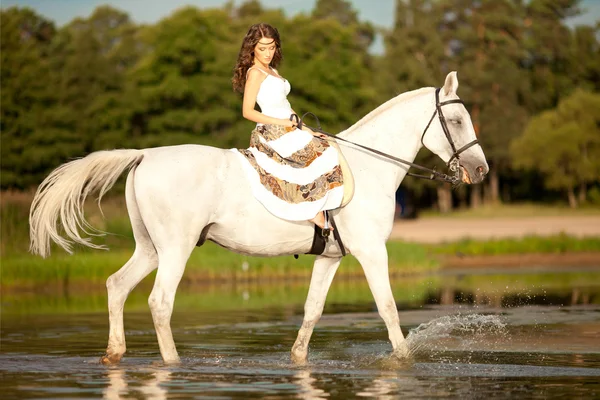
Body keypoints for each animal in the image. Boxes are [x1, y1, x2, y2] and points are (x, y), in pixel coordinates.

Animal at [29, 72, 488, 366]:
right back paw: (172, 363)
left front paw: (297, 359)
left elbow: (312, 311)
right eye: (456, 120)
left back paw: (115, 354)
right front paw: (405, 361)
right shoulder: (372, 252)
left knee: (116, 286)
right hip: (175, 249)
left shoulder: (331, 258)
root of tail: (144, 156)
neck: (370, 165)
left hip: (150, 249)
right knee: (159, 302)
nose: (481, 171)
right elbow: (389, 310)